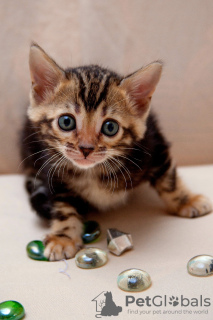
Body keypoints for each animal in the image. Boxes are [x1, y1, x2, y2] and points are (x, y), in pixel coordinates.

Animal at [20, 43, 212, 262]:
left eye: (110, 127)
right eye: (66, 122)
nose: (86, 148)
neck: (92, 171)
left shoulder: (155, 147)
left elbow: (168, 179)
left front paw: (187, 201)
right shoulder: (53, 171)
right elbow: (63, 206)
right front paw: (64, 237)